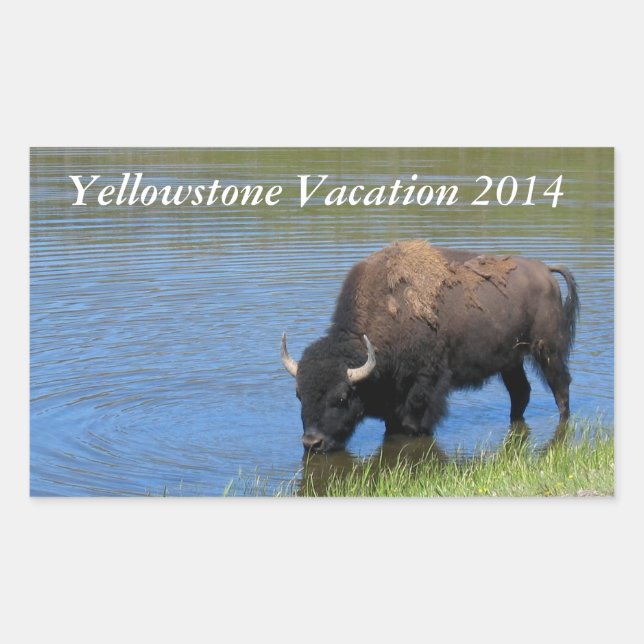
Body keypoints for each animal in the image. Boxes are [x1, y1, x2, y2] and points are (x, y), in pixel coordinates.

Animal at [281, 240, 579, 453]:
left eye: (342, 397)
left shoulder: (424, 385)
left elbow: (414, 422)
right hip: (511, 361)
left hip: (548, 350)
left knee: (560, 387)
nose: (312, 443)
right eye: (298, 394)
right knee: (521, 393)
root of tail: (545, 270)